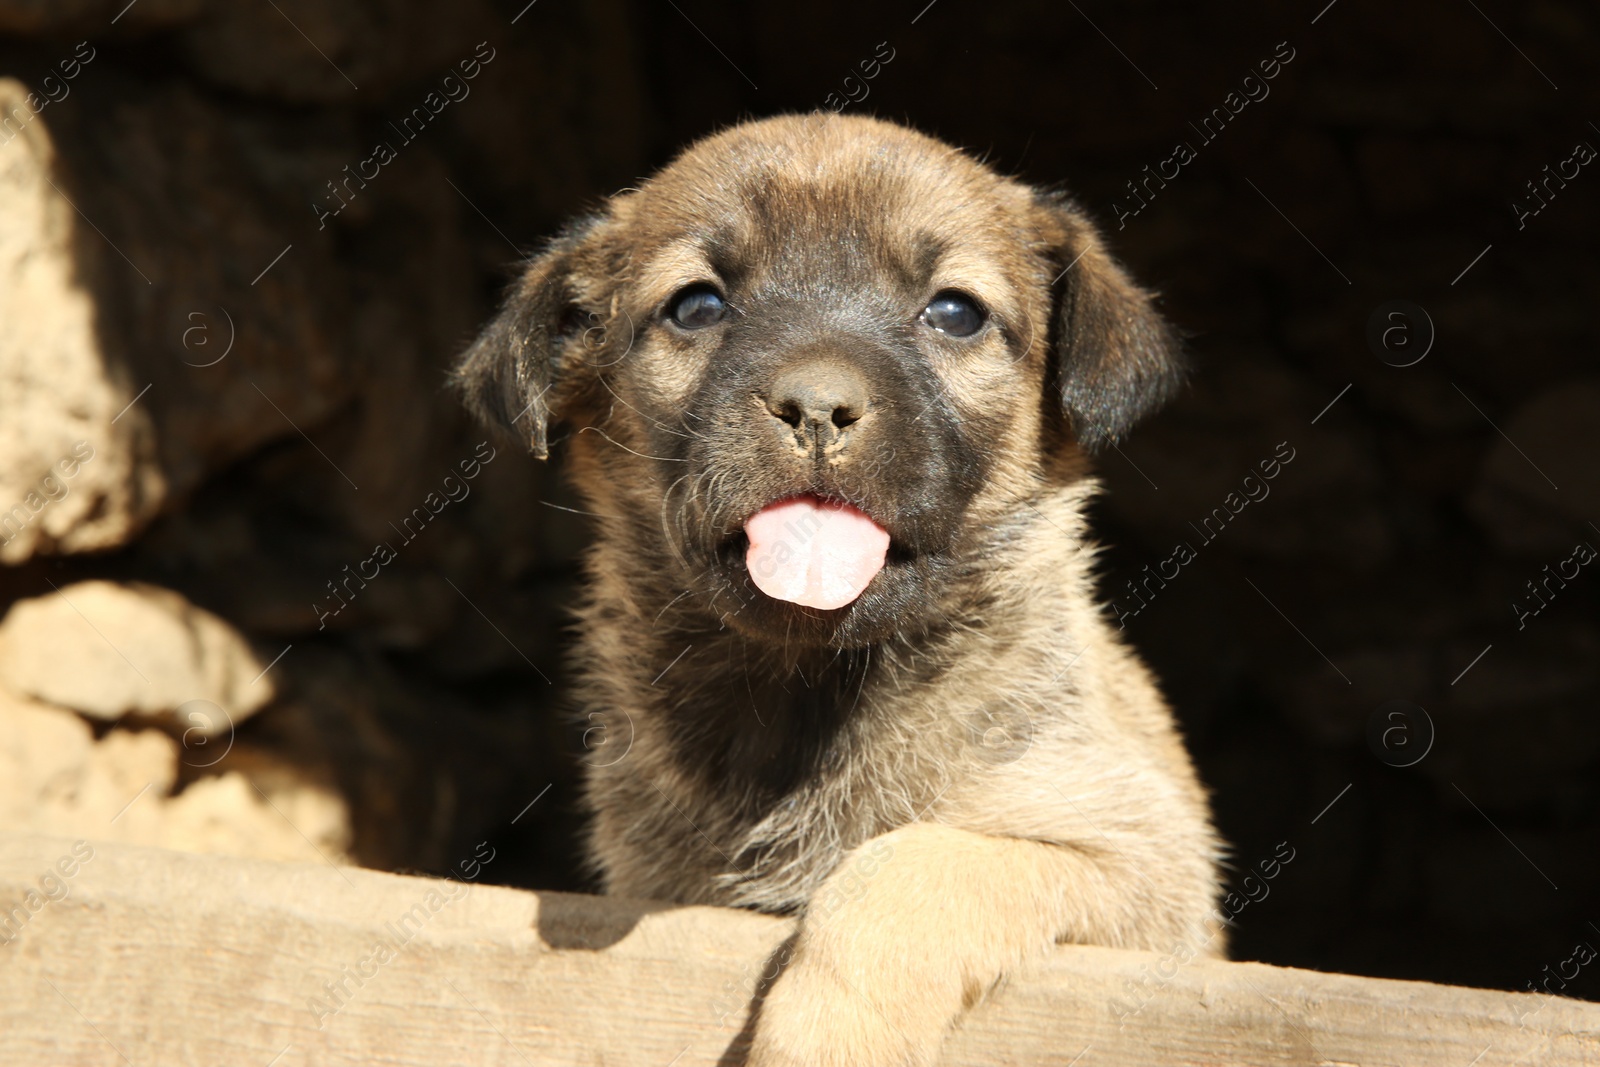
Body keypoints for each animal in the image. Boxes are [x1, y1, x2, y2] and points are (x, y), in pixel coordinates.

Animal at [457, 115, 1216, 1067]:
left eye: (955, 312)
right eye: (697, 305)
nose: (816, 408)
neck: (807, 693)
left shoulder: (1135, 860)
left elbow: (909, 865)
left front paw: (828, 1031)